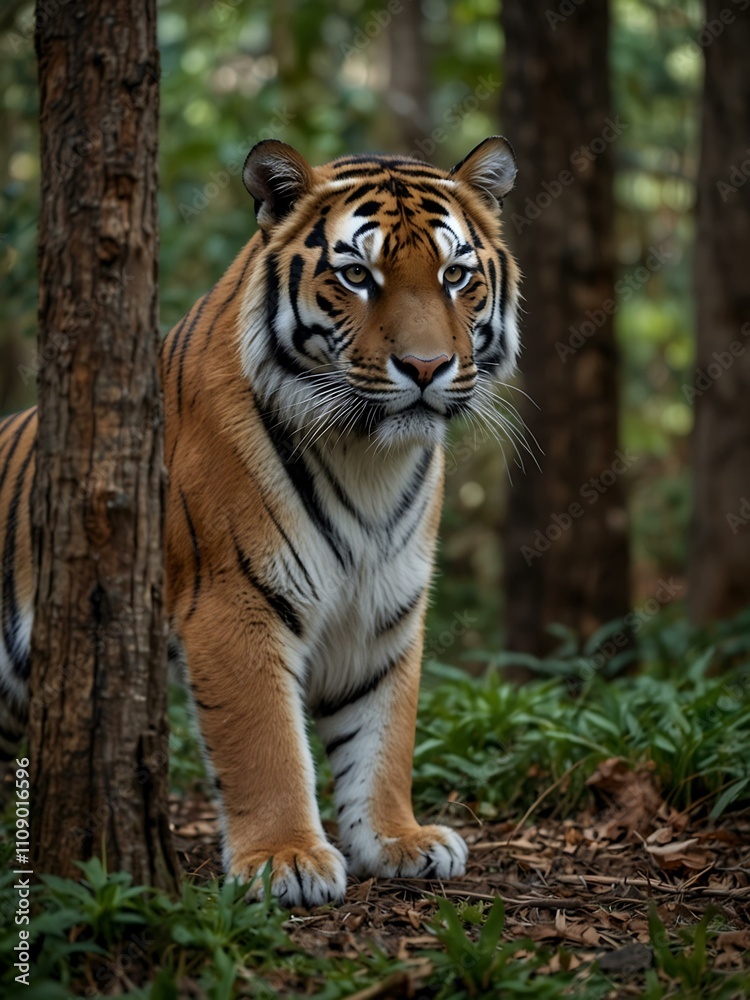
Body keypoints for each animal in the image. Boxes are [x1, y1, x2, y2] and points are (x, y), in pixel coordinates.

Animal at [0, 136, 521, 907]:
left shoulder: (385, 610)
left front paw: (397, 840)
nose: (426, 366)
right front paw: (287, 860)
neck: (370, 458)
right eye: (357, 275)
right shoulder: (234, 599)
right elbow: (264, 743)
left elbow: (383, 734)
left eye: (455, 275)